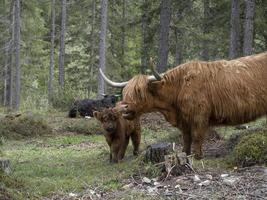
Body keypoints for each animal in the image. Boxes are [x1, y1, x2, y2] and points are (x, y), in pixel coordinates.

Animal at [100, 52, 267, 159]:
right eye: (125, 92)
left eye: (139, 92)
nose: (124, 108)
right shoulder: (184, 120)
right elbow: (186, 138)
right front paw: (185, 153)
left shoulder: (199, 117)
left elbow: (197, 137)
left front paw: (198, 156)